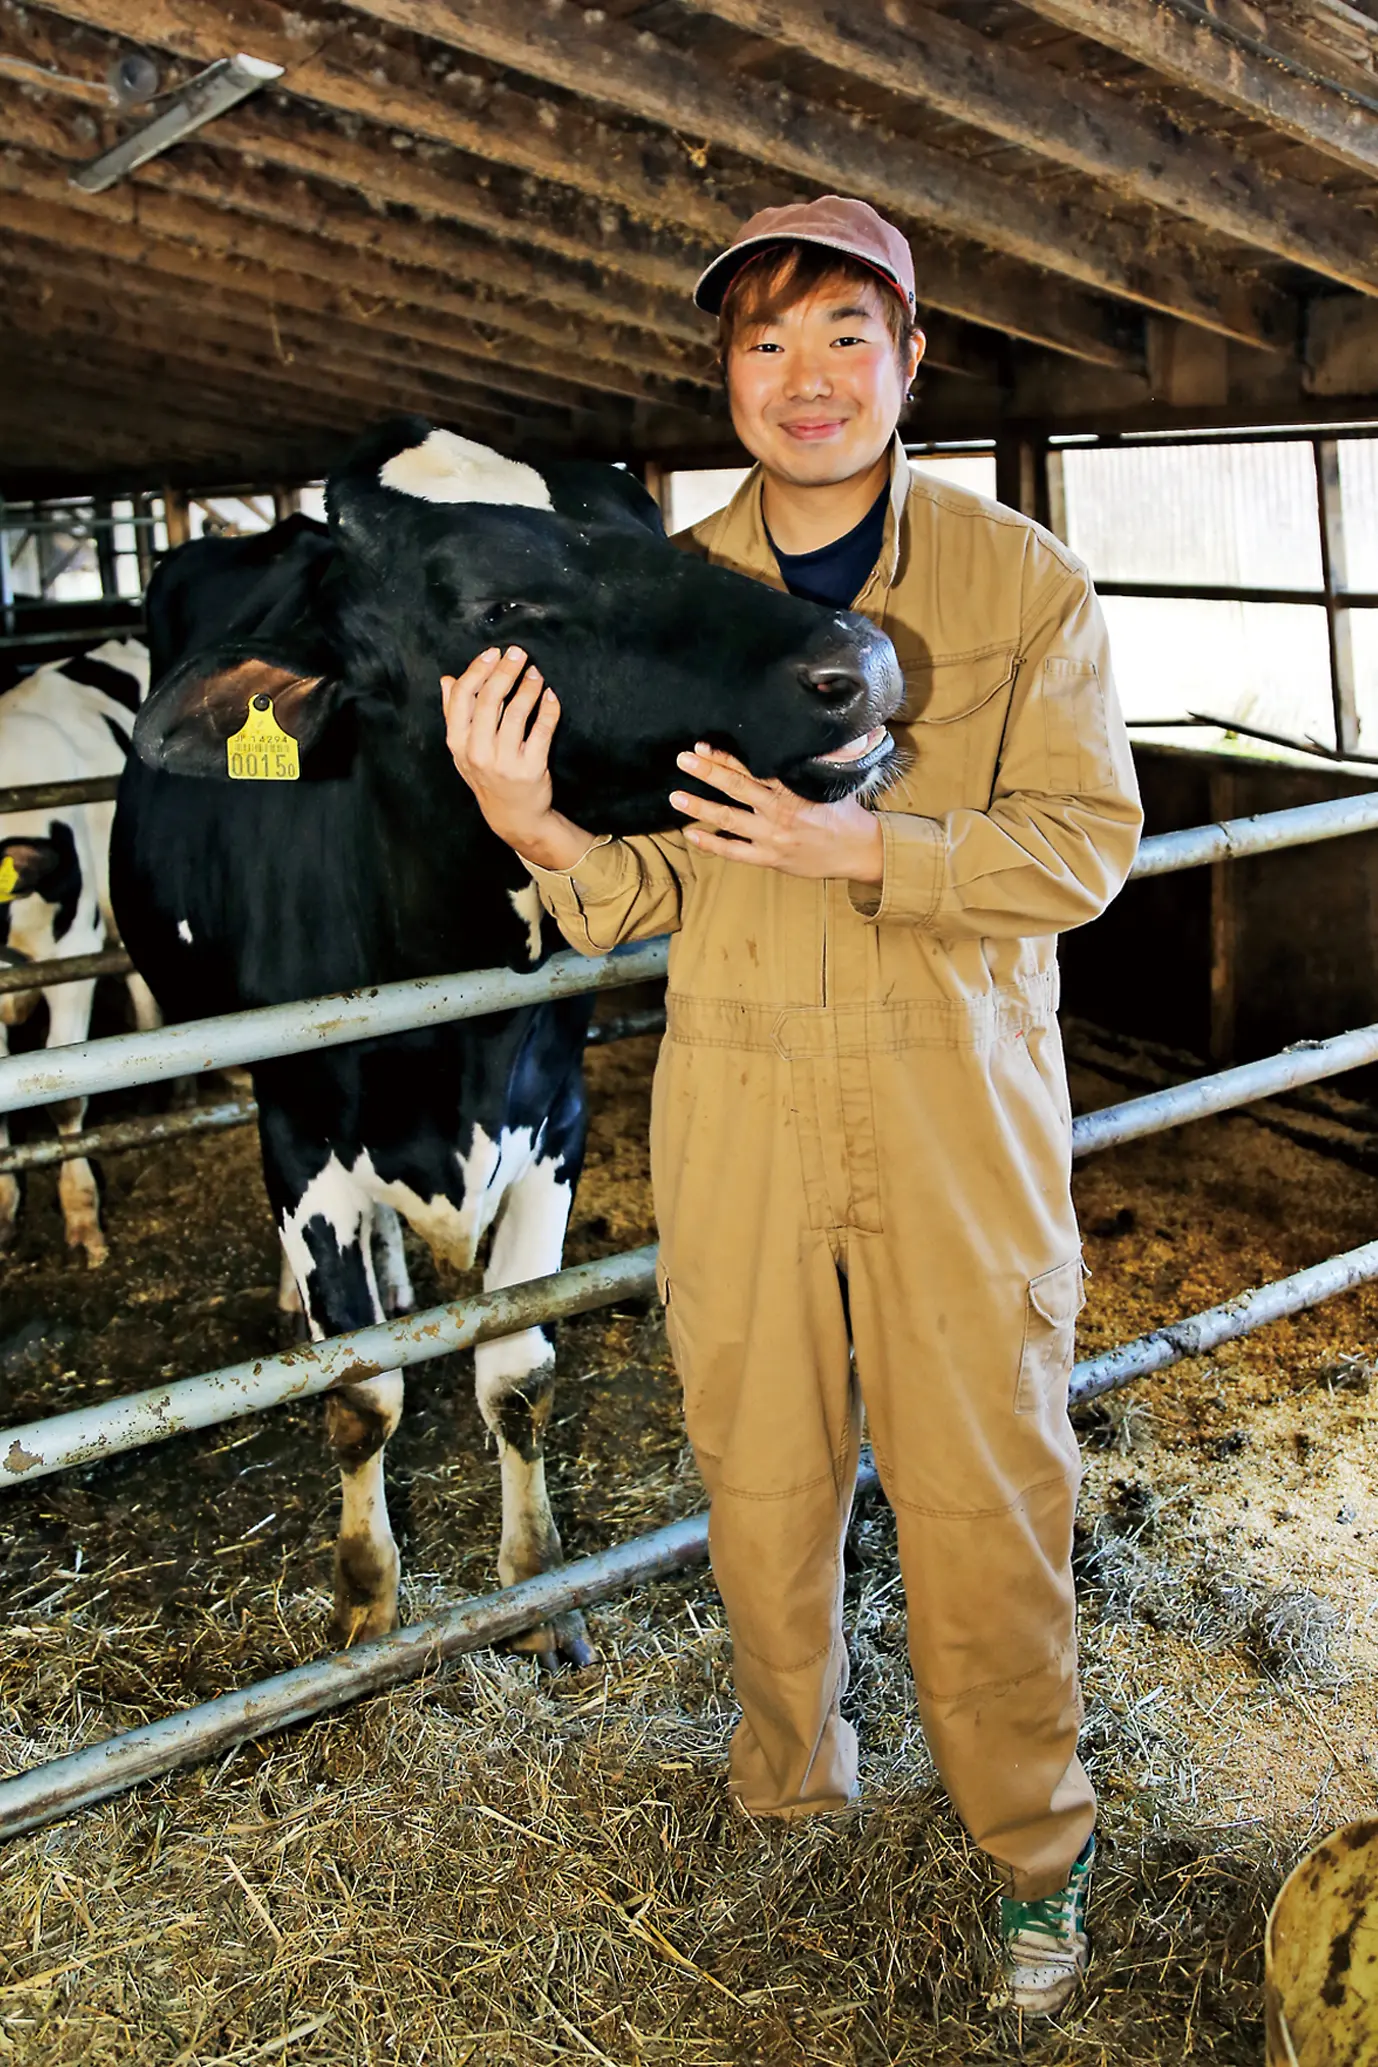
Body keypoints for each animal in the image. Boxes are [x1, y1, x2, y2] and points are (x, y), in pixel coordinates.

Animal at [113, 419, 900, 1661]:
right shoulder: (301, 1141)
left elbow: (517, 1372)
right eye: (498, 608)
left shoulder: (551, 1121)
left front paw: (535, 1588)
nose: (856, 661)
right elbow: (362, 1391)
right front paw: (366, 1595)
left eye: (650, 527)